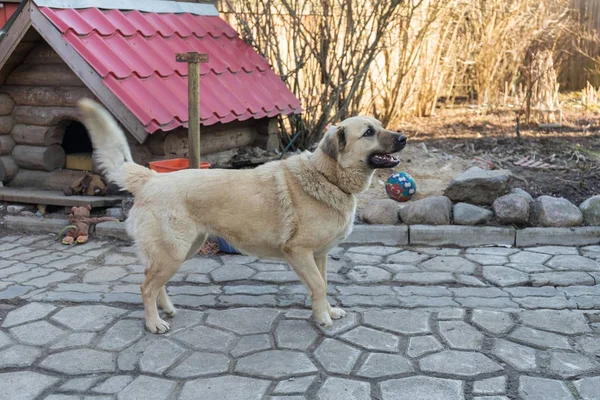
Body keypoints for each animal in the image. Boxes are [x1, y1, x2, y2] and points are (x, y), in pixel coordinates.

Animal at [77, 98, 406, 332]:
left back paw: (165, 310)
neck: (328, 177)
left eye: (380, 125)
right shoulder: (299, 252)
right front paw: (322, 318)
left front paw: (326, 311)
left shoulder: (319, 255)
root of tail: (151, 179)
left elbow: (321, 284)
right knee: (145, 286)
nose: (403, 137)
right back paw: (153, 323)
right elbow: (319, 285)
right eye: (369, 132)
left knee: (155, 283)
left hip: (182, 250)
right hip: (173, 252)